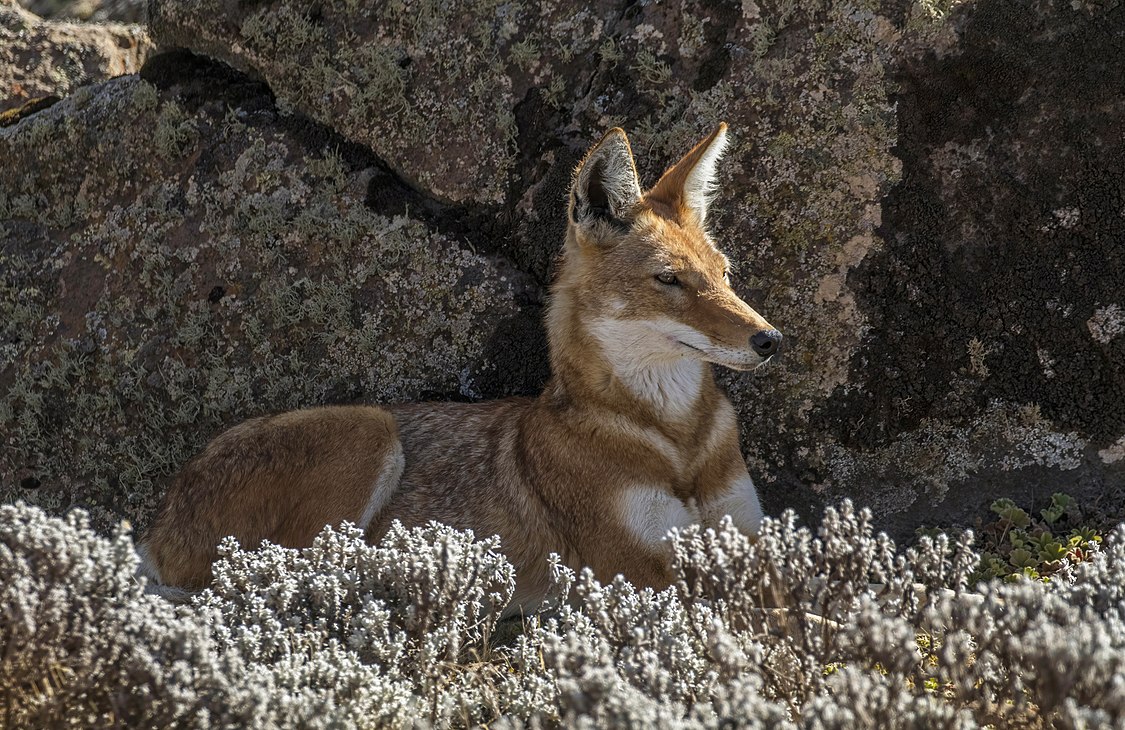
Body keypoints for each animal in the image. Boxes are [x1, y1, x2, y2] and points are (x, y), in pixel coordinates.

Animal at [140, 123, 783, 607]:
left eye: (724, 275)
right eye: (669, 281)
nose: (770, 339)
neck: (676, 442)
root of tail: (159, 517)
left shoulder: (745, 535)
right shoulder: (639, 569)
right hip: (370, 433)